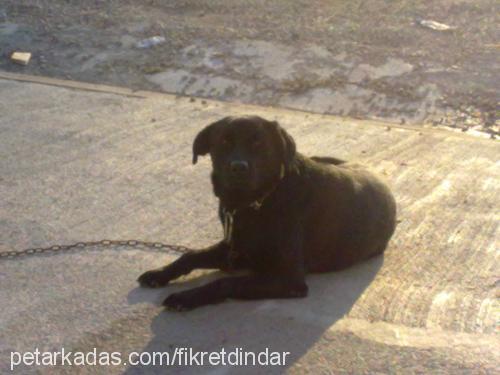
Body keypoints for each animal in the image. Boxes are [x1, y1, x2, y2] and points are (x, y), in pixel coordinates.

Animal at [139, 116, 396, 310]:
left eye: (259, 143)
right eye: (224, 141)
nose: (238, 168)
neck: (257, 202)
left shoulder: (289, 278)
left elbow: (224, 282)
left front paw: (186, 297)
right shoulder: (235, 248)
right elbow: (189, 256)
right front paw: (159, 274)